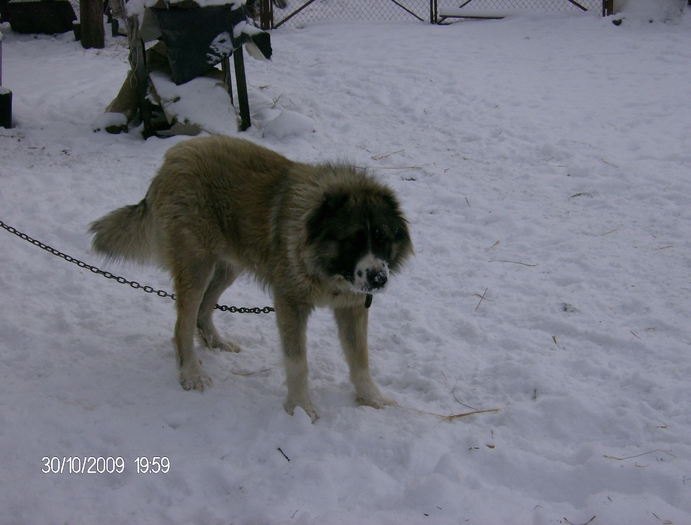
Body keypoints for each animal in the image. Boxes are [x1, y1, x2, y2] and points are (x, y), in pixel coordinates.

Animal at [89, 136, 414, 422]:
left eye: (381, 238)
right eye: (353, 241)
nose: (378, 278)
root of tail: (174, 157)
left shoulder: (352, 307)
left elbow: (360, 359)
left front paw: (372, 398)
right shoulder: (290, 303)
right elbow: (298, 362)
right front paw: (300, 406)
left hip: (226, 266)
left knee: (203, 311)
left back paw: (216, 342)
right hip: (197, 264)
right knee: (183, 324)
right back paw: (191, 373)